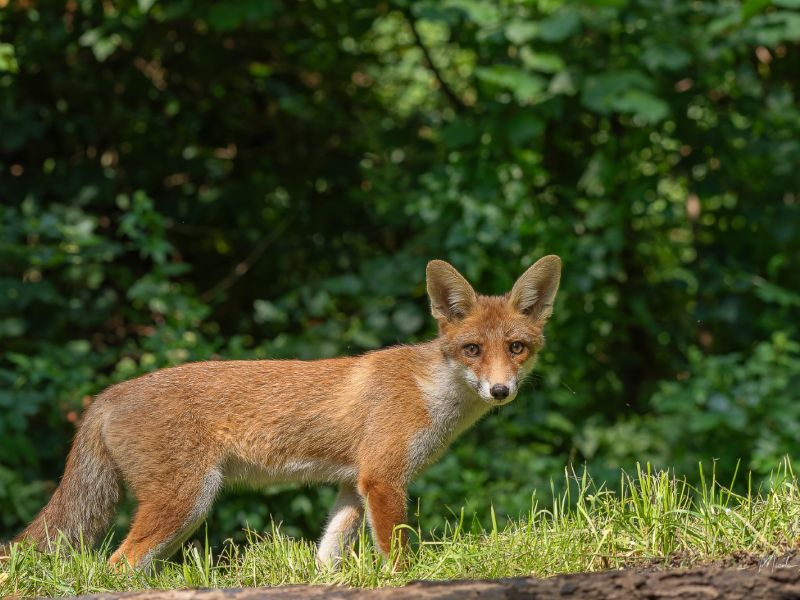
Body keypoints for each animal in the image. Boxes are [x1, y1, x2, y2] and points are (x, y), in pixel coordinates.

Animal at [10, 255, 561, 569]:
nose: (499, 390)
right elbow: (398, 557)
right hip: (185, 502)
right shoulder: (384, 479)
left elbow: (328, 554)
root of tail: (108, 393)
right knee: (116, 567)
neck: (430, 392)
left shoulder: (354, 485)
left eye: (516, 348)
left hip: (183, 510)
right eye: (472, 349)